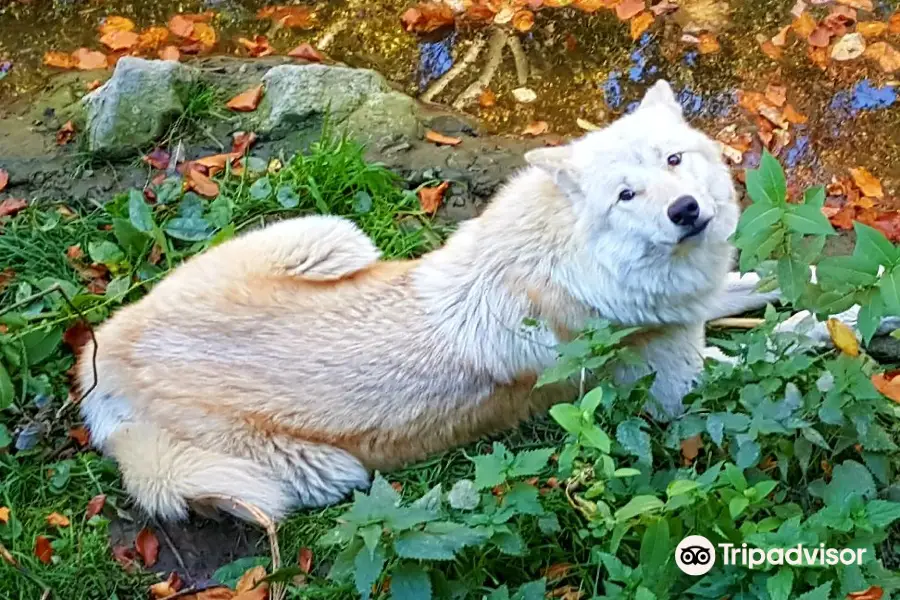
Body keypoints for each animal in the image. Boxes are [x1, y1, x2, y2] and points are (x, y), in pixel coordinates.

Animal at [77, 79, 776, 520]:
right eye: (626, 196)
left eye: (674, 160)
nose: (685, 210)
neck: (574, 258)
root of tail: (101, 357)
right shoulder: (678, 392)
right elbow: (775, 356)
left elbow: (741, 293)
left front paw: (773, 281)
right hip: (322, 469)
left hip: (334, 236)